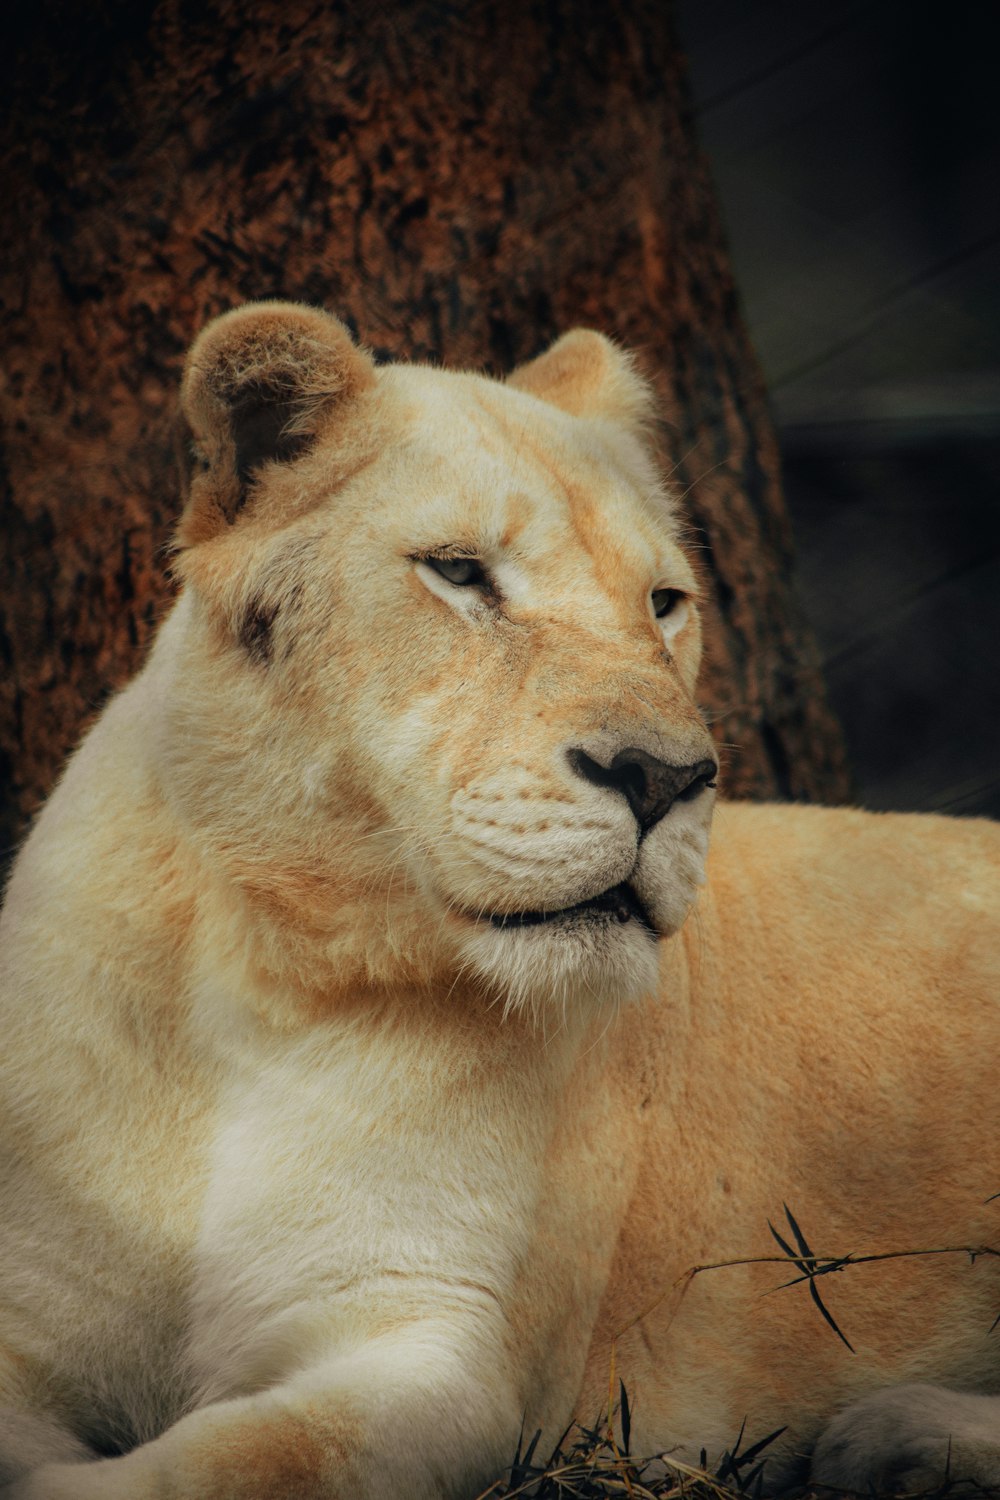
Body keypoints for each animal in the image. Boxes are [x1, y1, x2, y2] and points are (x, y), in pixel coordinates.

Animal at [1, 298, 1000, 1494]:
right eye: (459, 572)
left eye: (664, 604)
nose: (665, 777)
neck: (267, 976)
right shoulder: (28, 1308)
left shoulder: (439, 1349)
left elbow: (246, 1455)